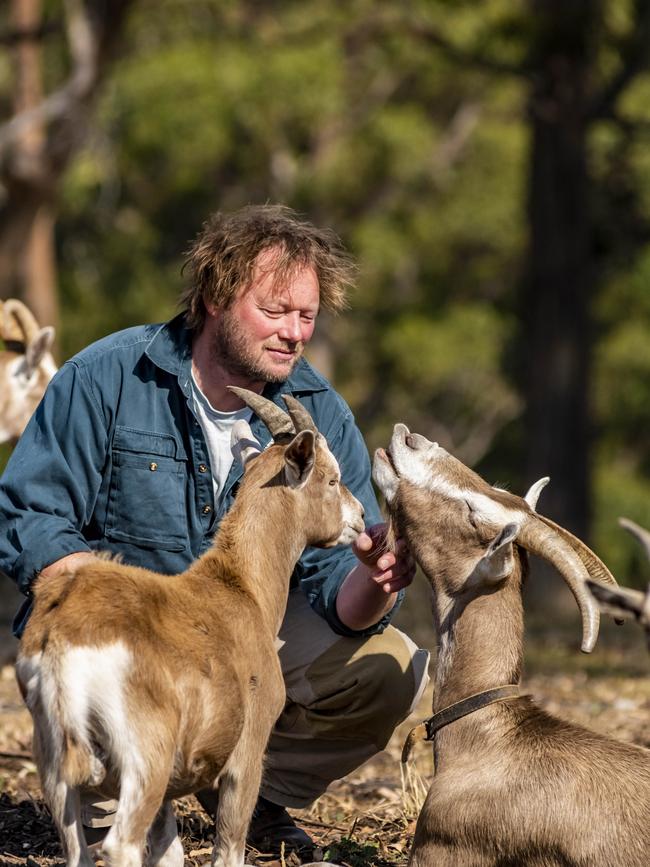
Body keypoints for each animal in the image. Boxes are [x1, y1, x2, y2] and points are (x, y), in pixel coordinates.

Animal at [15, 394, 362, 867]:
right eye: (331, 478)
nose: (360, 518)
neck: (240, 588)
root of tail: (64, 641)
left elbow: (169, 851)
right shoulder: (247, 753)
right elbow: (229, 847)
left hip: (57, 766)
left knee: (78, 850)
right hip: (145, 759)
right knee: (121, 844)